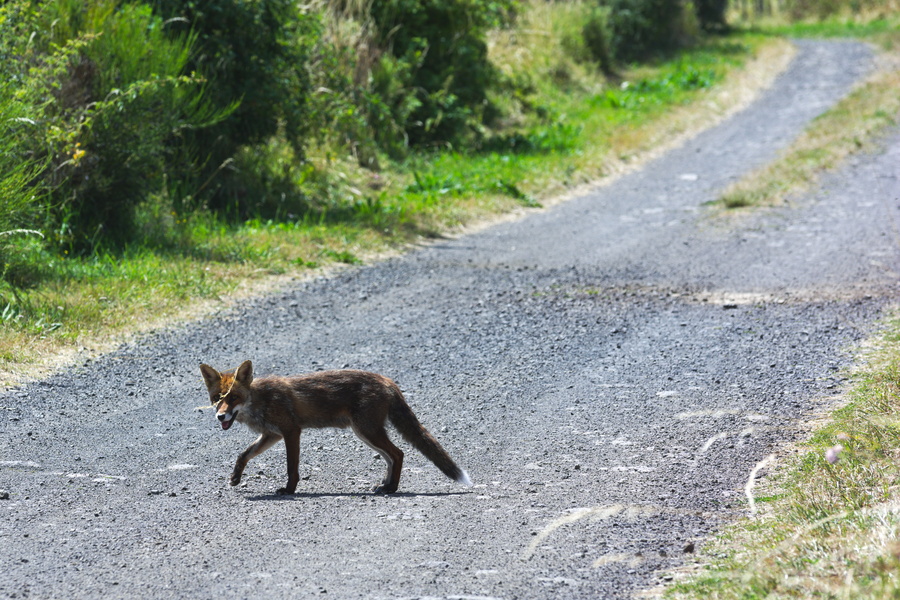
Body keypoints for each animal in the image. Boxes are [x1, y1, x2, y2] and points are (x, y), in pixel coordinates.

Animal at [199, 360, 471, 495]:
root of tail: (387, 380)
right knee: (392, 457)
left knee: (399, 453)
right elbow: (243, 454)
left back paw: (392, 488)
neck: (260, 401)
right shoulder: (271, 434)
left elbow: (291, 468)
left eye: (234, 398)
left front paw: (289, 490)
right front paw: (235, 478)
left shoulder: (291, 431)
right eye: (217, 398)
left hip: (367, 431)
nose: (220, 417)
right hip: (365, 433)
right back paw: (385, 485)